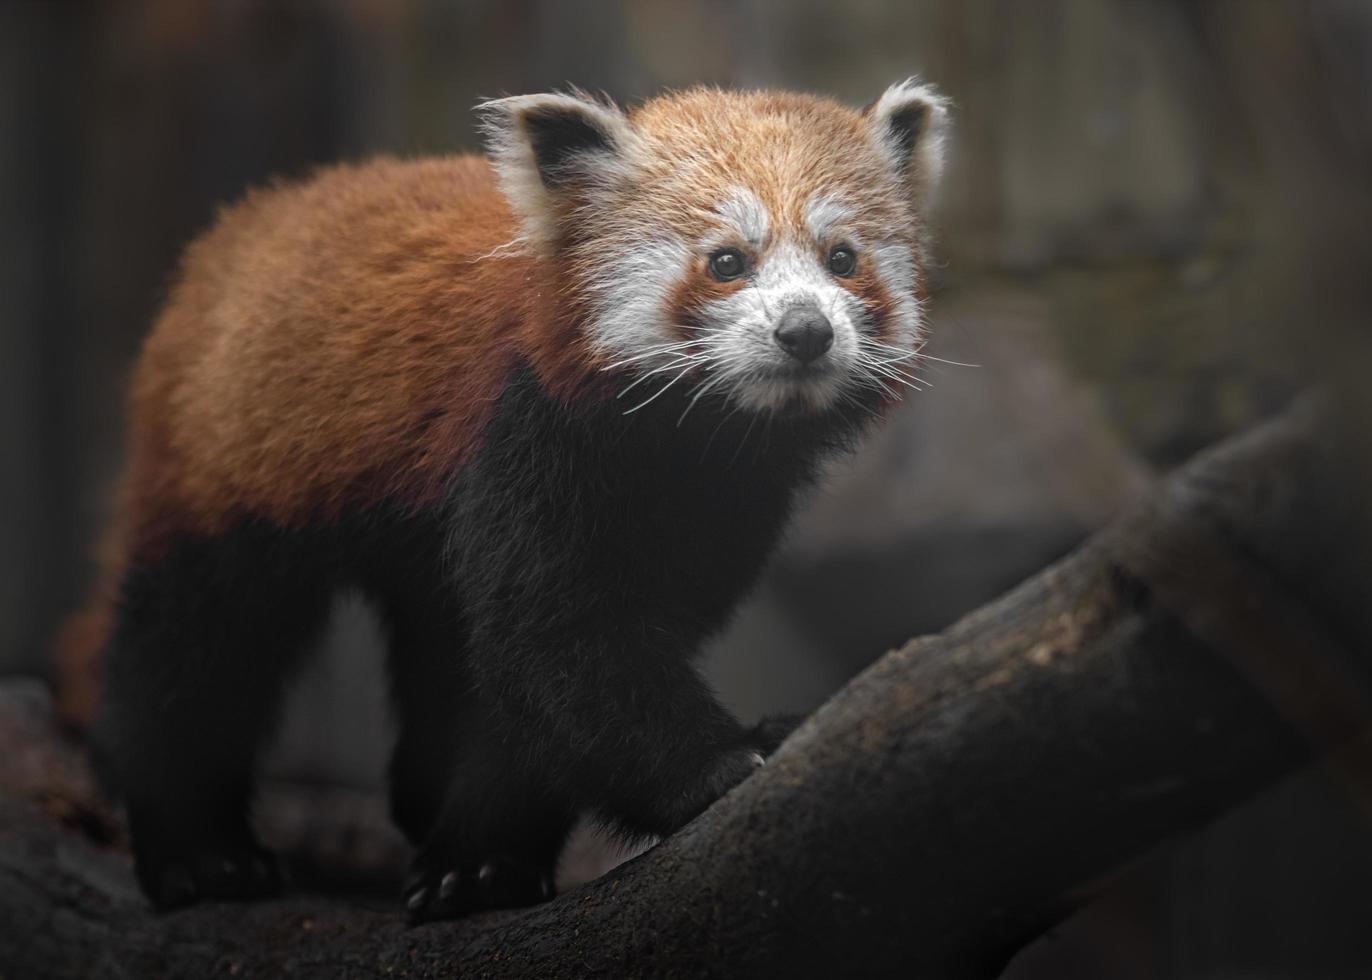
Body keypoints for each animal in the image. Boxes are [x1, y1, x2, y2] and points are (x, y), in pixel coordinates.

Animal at [56, 82, 954, 916]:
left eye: (842, 258)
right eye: (727, 261)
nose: (806, 331)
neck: (694, 444)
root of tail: (253, 218)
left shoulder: (722, 507)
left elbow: (536, 695)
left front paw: (482, 857)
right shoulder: (525, 434)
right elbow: (558, 641)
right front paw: (721, 763)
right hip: (227, 461)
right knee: (194, 644)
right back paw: (200, 853)